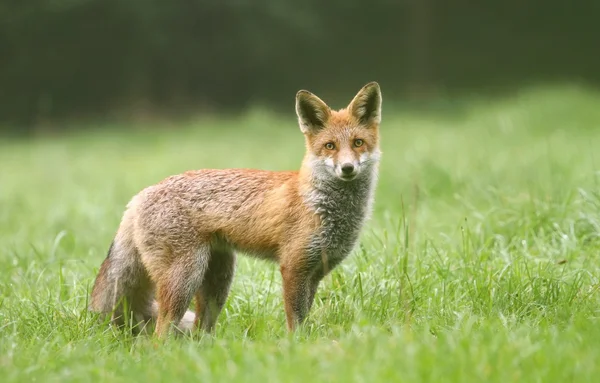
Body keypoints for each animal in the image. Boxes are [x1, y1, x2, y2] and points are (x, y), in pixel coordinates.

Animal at [90, 82, 380, 338]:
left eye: (358, 143)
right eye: (330, 146)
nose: (347, 168)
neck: (320, 203)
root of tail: (141, 194)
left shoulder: (316, 272)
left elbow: (305, 318)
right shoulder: (293, 267)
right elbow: (295, 322)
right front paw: (295, 347)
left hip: (218, 281)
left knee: (199, 332)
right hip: (184, 278)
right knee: (161, 334)